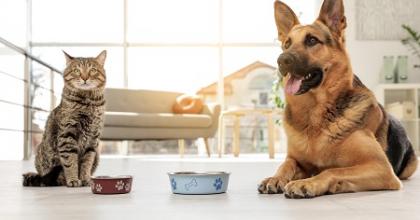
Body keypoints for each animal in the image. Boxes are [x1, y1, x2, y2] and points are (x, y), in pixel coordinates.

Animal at [22, 50, 107, 187]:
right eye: (76, 70)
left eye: (93, 70)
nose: (84, 78)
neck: (88, 102)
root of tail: (40, 175)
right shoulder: (67, 136)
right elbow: (70, 161)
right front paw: (73, 180)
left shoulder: (93, 140)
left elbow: (86, 163)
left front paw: (85, 179)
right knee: (54, 177)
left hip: (97, 154)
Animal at [258, 0, 418, 199]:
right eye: (287, 44)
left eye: (312, 40)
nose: (281, 60)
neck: (316, 116)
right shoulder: (295, 159)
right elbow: (285, 164)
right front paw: (275, 178)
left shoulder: (380, 167)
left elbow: (332, 170)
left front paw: (308, 183)